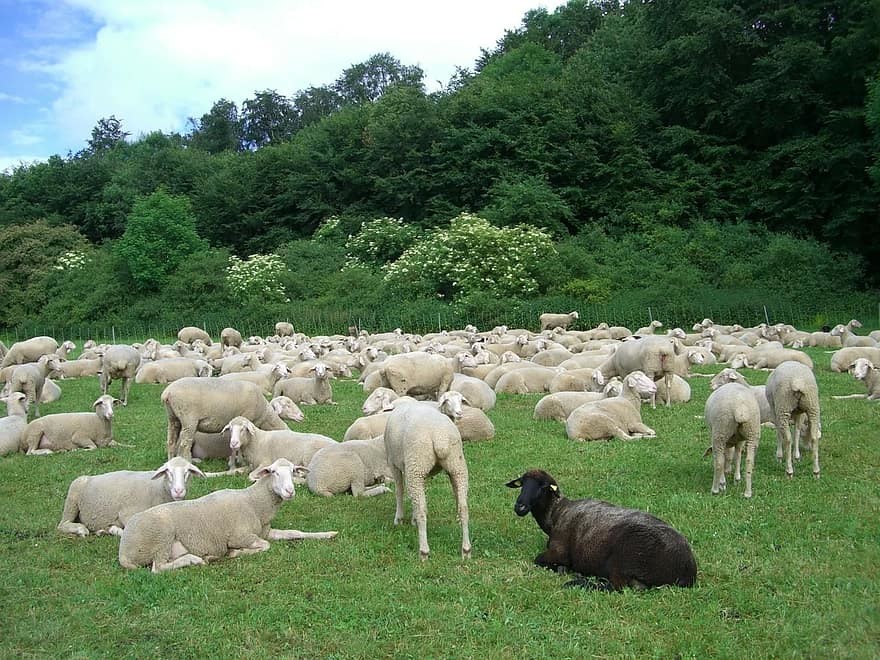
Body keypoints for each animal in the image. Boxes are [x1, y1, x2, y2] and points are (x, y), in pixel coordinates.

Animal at [57, 457, 206, 537]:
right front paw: (115, 529)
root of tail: (89, 477)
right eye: (168, 471)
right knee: (63, 524)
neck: (158, 489)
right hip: (72, 498)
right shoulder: (127, 513)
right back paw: (81, 529)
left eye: (187, 472)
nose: (178, 491)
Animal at [118, 458, 338, 572]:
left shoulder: (265, 531)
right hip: (161, 537)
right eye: (273, 472)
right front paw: (235, 553)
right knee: (158, 567)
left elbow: (295, 532)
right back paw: (195, 559)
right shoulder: (240, 536)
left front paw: (328, 534)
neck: (254, 502)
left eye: (293, 471)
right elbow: (265, 546)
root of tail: (123, 551)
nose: (290, 491)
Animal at [162, 378, 290, 460]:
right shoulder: (246, 417)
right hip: (189, 419)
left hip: (173, 418)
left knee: (171, 442)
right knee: (184, 445)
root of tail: (167, 393)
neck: (265, 415)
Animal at [383, 398, 471, 560]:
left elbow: (399, 491)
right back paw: (466, 549)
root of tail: (439, 436)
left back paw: (424, 551)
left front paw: (399, 519)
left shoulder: (393, 463)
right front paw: (412, 520)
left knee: (422, 510)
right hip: (456, 465)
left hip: (417, 464)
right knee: (463, 507)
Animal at [506, 469, 697, 590]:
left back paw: (578, 582)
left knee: (621, 587)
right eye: (522, 484)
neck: (556, 514)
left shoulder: (559, 550)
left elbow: (538, 559)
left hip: (624, 559)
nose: (519, 506)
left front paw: (563, 569)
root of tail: (688, 569)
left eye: (543, 487)